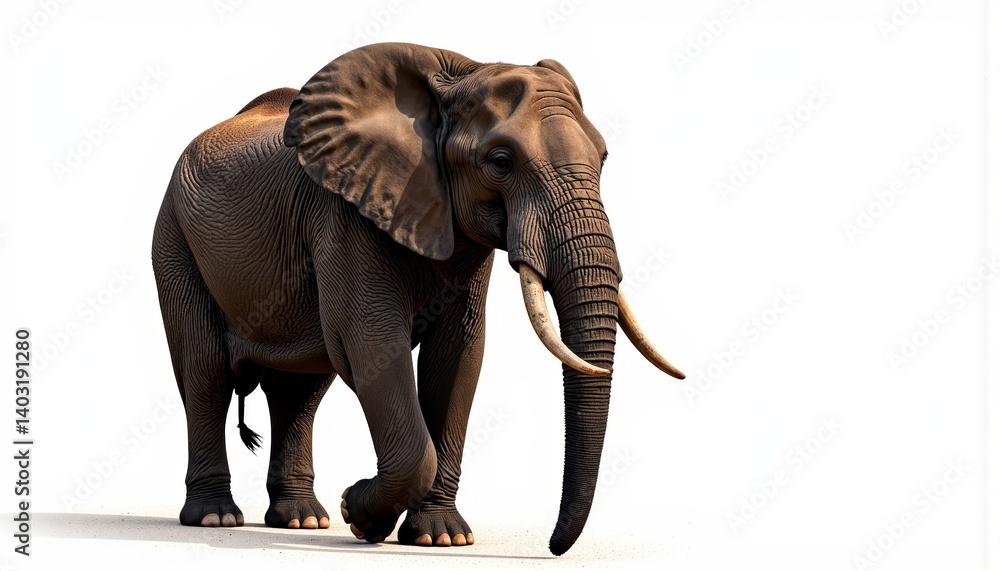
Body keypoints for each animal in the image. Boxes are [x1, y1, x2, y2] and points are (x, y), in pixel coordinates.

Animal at [151, 42, 684, 555]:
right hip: (174, 239)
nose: (553, 548)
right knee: (207, 374)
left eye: (603, 158)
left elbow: (458, 358)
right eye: (501, 161)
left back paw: (304, 519)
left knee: (299, 391)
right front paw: (359, 514)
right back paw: (217, 517)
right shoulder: (346, 214)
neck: (462, 72)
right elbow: (373, 344)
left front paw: (440, 538)